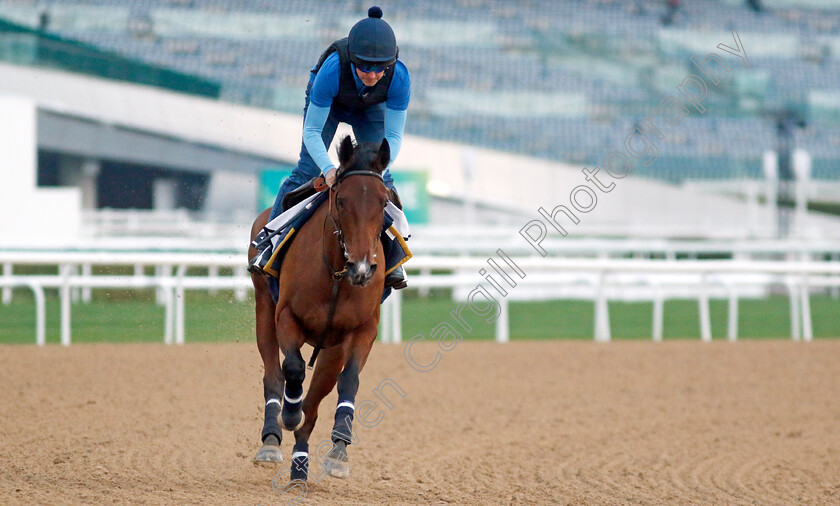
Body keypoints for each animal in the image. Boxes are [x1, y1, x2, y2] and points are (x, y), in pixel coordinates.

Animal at [248, 134, 392, 482]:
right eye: (341, 200)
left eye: (383, 203)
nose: (362, 268)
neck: (337, 274)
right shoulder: (286, 316)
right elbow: (293, 369)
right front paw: (289, 413)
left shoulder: (355, 332)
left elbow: (344, 382)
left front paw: (335, 449)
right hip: (264, 308)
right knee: (274, 374)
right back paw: (272, 438)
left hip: (340, 344)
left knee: (321, 399)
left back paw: (307, 462)